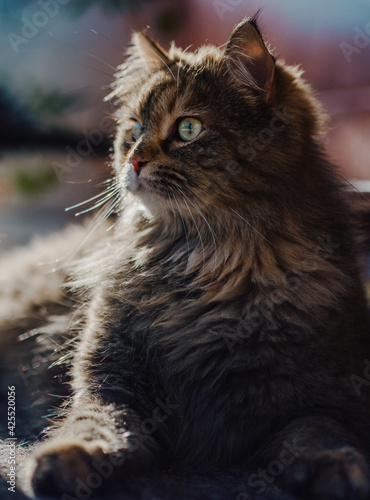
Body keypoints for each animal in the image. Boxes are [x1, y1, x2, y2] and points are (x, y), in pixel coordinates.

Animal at [0, 13, 370, 498]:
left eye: (187, 129)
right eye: (134, 130)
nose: (134, 162)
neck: (206, 264)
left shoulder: (325, 399)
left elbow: (317, 434)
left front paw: (337, 469)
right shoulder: (112, 383)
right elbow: (95, 423)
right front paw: (66, 460)